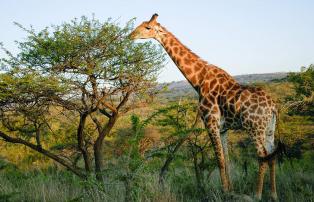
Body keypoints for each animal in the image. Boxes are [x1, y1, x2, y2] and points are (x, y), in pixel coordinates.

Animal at [130, 14, 278, 200]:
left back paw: (257, 195)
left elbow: (219, 160)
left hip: (254, 127)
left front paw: (225, 192)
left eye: (148, 27)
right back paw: (273, 195)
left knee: (262, 156)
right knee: (272, 156)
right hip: (269, 128)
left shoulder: (210, 122)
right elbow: (226, 160)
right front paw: (231, 190)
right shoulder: (223, 128)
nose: (131, 35)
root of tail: (273, 107)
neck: (198, 80)